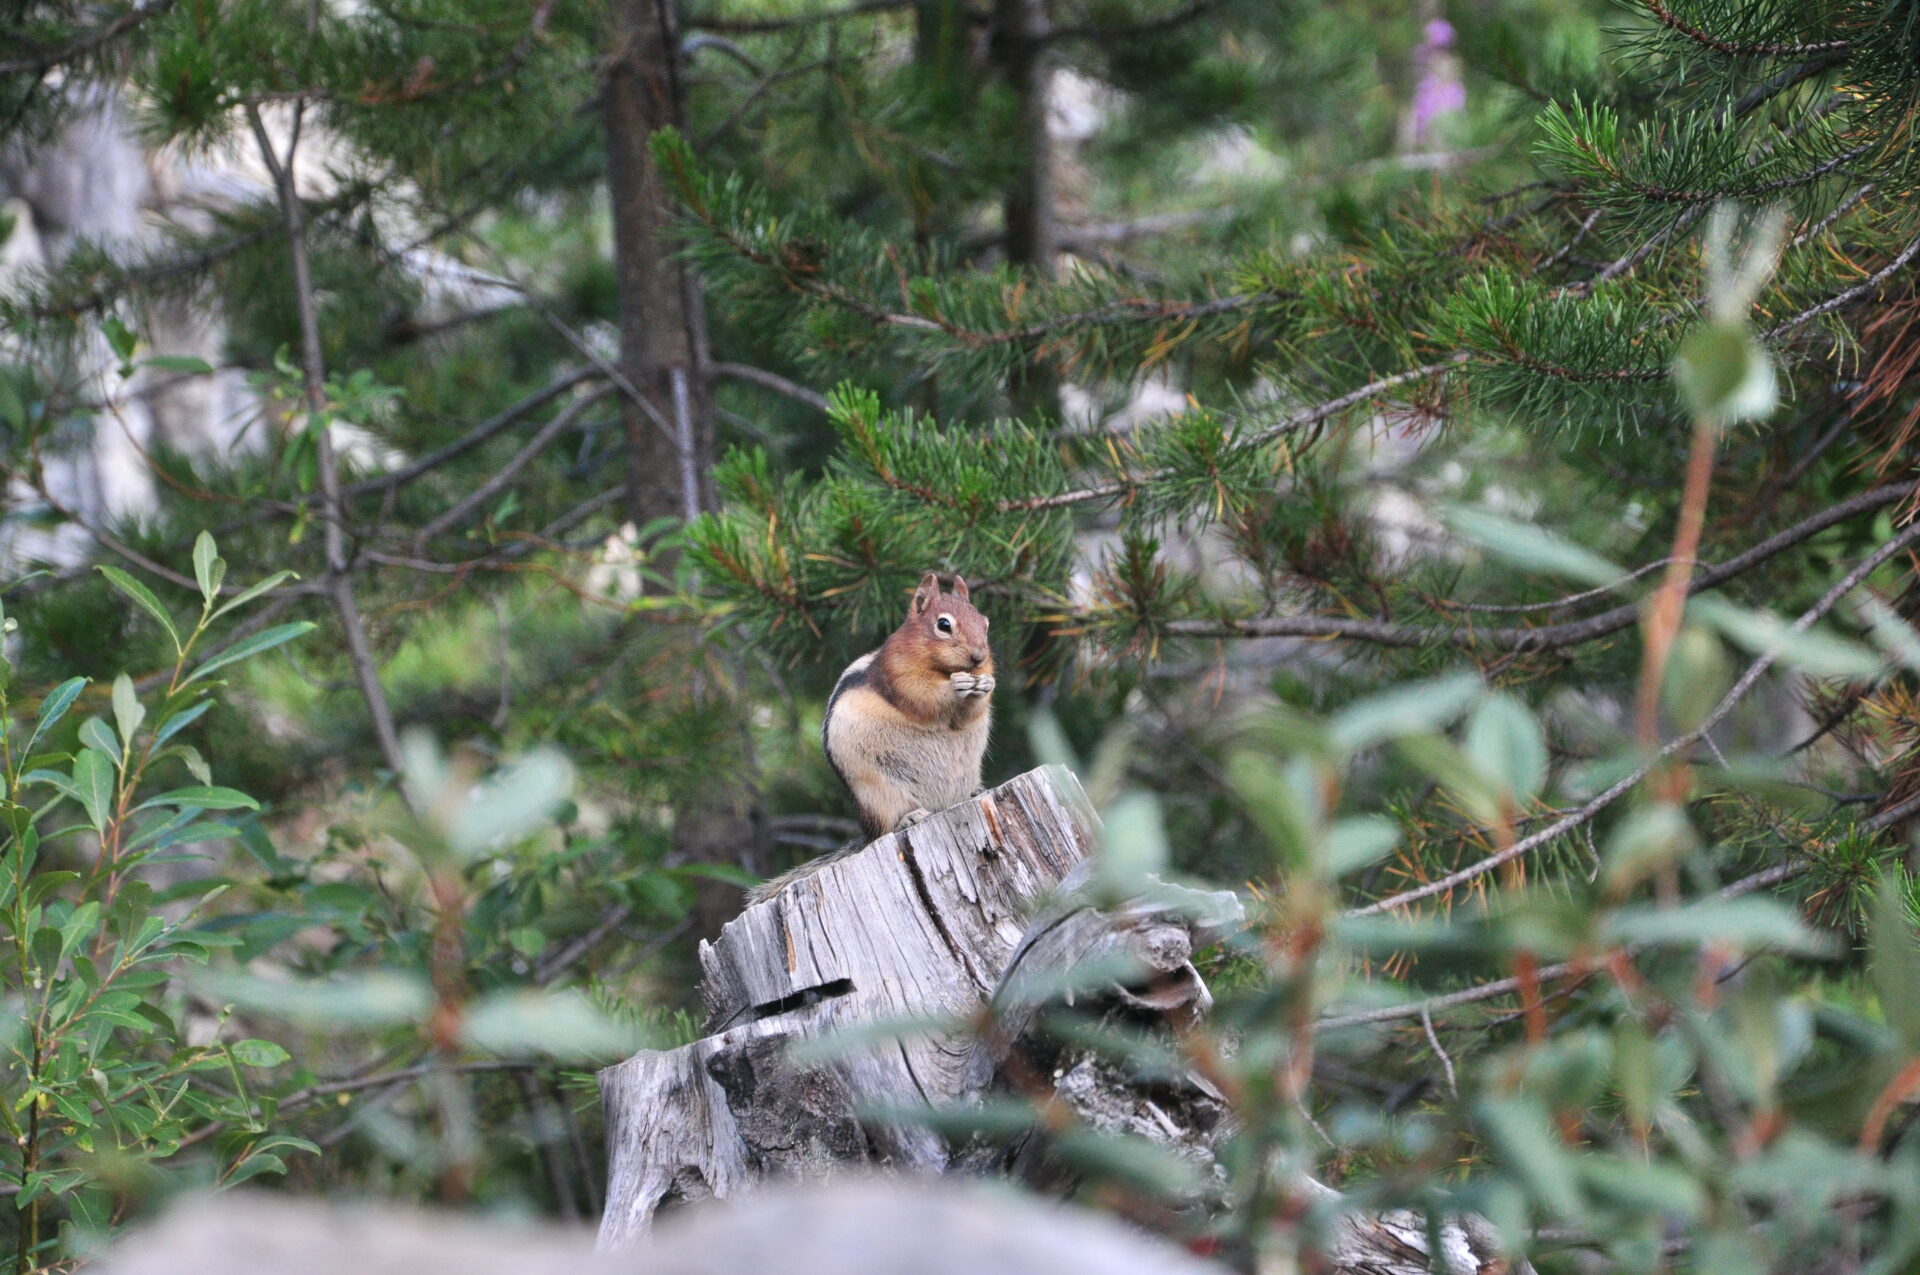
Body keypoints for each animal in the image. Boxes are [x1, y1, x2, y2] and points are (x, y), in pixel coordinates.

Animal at [744, 572, 998, 902]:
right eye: (944, 625)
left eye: (985, 623)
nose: (979, 657)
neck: (941, 667)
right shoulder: (899, 675)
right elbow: (924, 697)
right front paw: (956, 686)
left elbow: (974, 710)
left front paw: (985, 683)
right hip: (878, 794)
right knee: (886, 828)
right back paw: (908, 818)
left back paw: (974, 791)